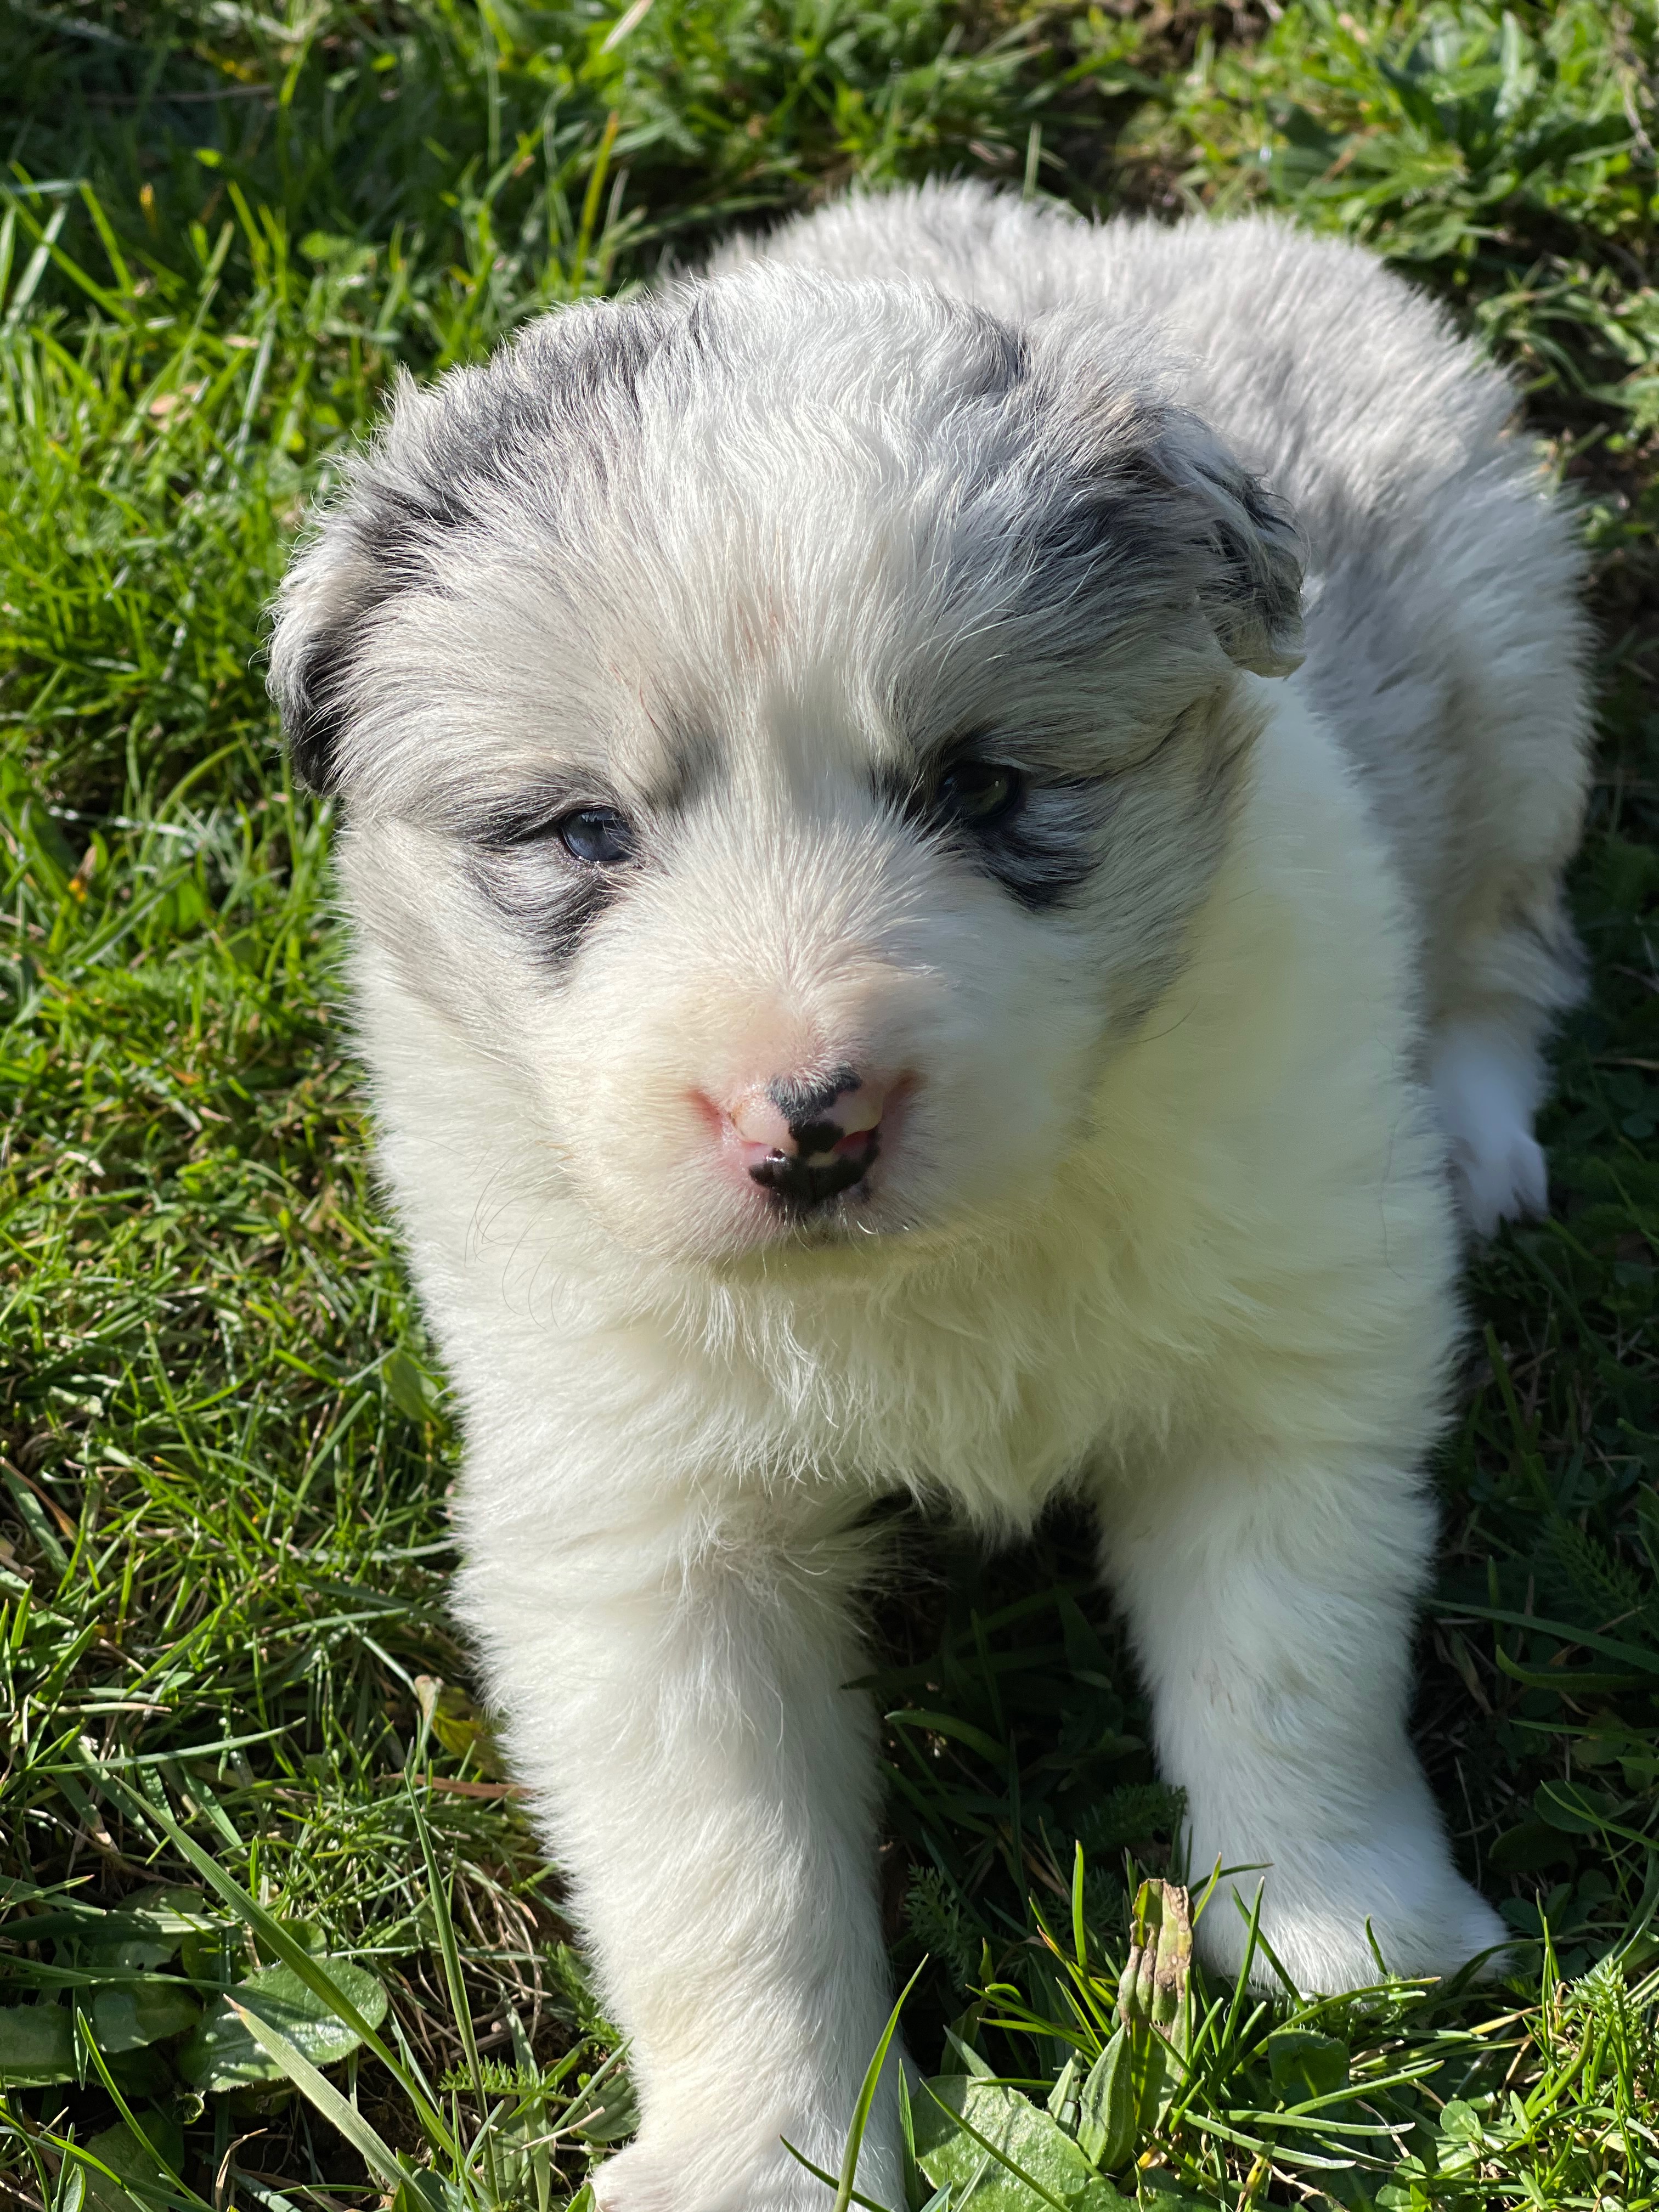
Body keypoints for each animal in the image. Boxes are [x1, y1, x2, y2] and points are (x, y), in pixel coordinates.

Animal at [266, 181, 1593, 2203]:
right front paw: (762, 2150)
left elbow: (1291, 1663)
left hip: (1511, 678)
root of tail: (1126, 229)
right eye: (585, 831)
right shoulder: (646, 1534)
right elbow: (727, 1865)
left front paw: (1349, 1940)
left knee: (1508, 944)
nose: (810, 1119)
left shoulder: (1281, 1361)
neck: (914, 1272)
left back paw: (1468, 1128)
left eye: (983, 787)